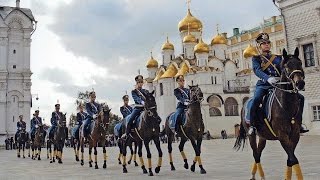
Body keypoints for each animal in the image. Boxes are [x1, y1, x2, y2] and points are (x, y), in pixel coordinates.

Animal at [234, 47, 306, 180]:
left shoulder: (295, 135)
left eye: (300, 63)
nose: (300, 83)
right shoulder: (282, 135)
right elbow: (293, 159)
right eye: (286, 66)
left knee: (258, 153)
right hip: (251, 135)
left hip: (263, 136)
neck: (286, 105)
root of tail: (245, 105)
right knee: (256, 155)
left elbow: (290, 159)